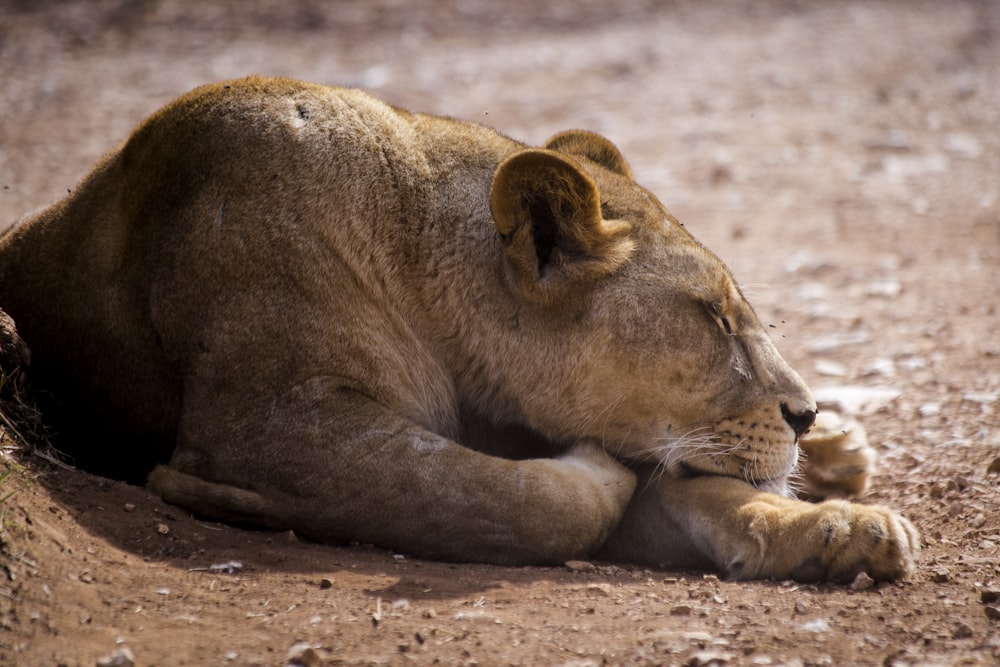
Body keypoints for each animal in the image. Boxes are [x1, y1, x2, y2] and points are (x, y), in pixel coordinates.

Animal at [0, 75, 920, 580]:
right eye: (714, 318)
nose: (802, 410)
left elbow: (708, 496)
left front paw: (845, 529)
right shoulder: (266, 424)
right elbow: (501, 497)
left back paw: (837, 455)